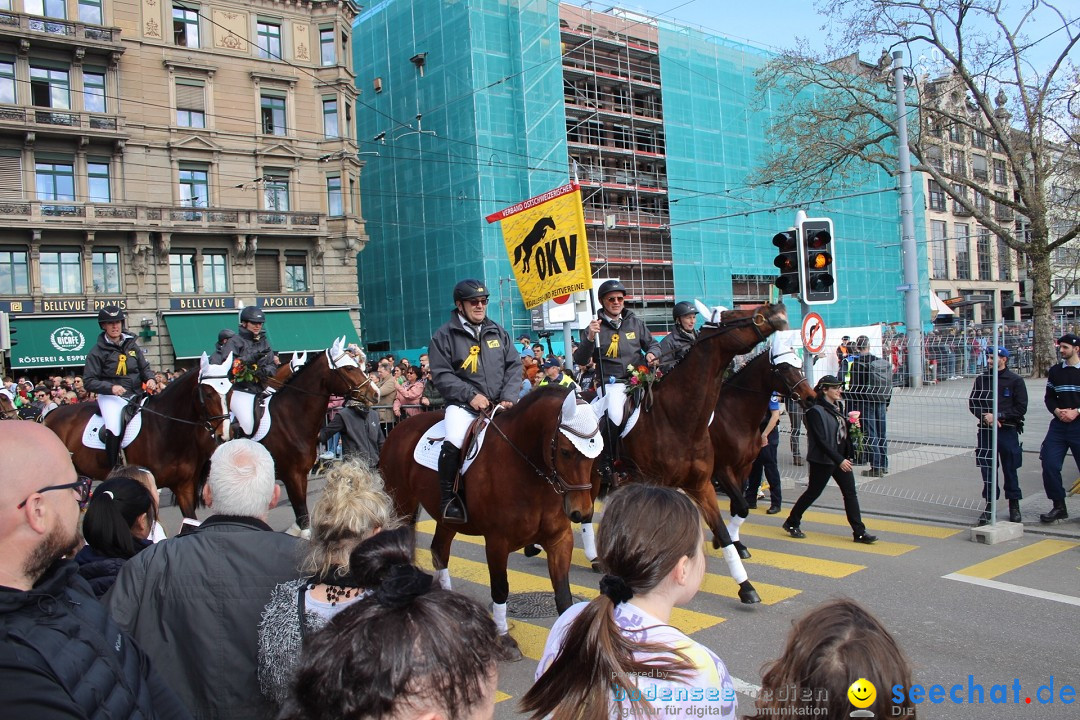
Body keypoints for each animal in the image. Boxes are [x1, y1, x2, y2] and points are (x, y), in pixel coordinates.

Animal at [43, 351, 233, 515]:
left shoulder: (184, 487)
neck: (166, 431)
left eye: (231, 391)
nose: (224, 435)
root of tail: (51, 414)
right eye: (208, 394)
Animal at [254, 338, 378, 535]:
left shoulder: (300, 475)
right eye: (349, 368)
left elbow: (301, 515)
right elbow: (303, 519)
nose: (375, 393)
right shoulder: (292, 475)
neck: (287, 418)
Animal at [378, 388, 600, 660]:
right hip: (402, 506)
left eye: (596, 453)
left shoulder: (560, 540)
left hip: (445, 519)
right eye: (566, 452)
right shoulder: (497, 543)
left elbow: (563, 593)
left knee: (439, 551)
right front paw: (504, 639)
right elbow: (500, 589)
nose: (582, 512)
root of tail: (399, 427)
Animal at [609, 302, 786, 604]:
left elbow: (728, 524)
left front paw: (745, 585)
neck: (679, 418)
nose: (776, 307)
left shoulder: (705, 482)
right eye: (730, 316)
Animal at [708, 345, 812, 561]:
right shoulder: (722, 469)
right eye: (785, 367)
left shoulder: (743, 468)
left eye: (799, 365)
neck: (733, 415)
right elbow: (742, 506)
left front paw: (736, 544)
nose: (810, 397)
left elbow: (737, 507)